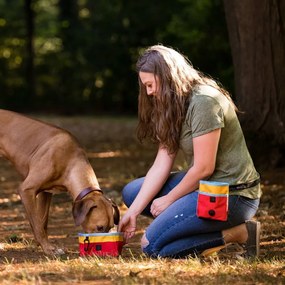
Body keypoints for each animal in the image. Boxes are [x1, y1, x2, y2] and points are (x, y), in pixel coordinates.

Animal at [0, 109, 118, 255]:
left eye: (110, 227)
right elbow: (38, 225)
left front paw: (43, 245)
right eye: (99, 227)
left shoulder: (46, 193)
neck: (71, 161)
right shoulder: (26, 190)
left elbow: (43, 222)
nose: (105, 252)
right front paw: (48, 248)